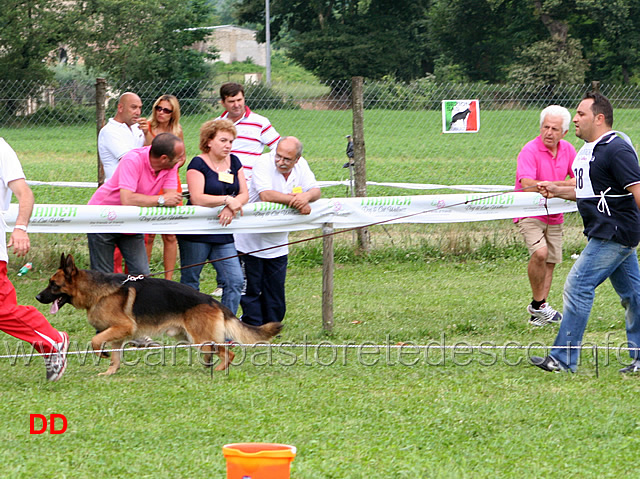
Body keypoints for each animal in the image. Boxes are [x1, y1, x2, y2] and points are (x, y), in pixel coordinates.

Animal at [37, 253, 282, 376]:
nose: (38, 297)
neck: (97, 291)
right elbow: (115, 355)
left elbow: (95, 340)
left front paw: (102, 355)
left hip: (201, 337)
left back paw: (220, 370)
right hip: (190, 337)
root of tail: (212, 301)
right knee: (216, 351)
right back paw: (209, 365)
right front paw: (110, 372)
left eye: (53, 285)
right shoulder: (117, 334)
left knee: (228, 352)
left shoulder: (123, 327)